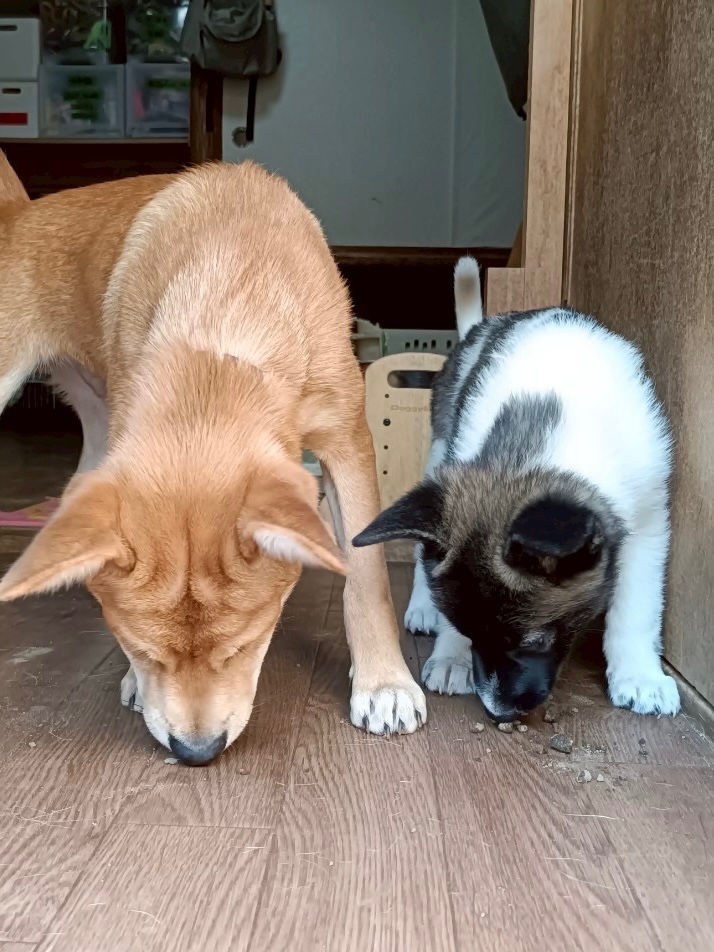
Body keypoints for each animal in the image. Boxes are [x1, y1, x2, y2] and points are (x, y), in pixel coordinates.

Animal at [0, 155, 426, 763]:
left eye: (247, 644)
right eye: (139, 649)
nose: (196, 753)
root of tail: (19, 215)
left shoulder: (346, 440)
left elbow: (365, 576)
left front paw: (384, 682)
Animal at [354, 255, 679, 722]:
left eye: (535, 641)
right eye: (470, 631)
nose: (499, 711)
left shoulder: (648, 520)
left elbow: (637, 610)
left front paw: (641, 678)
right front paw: (451, 655)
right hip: (439, 460)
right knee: (421, 553)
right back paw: (421, 607)